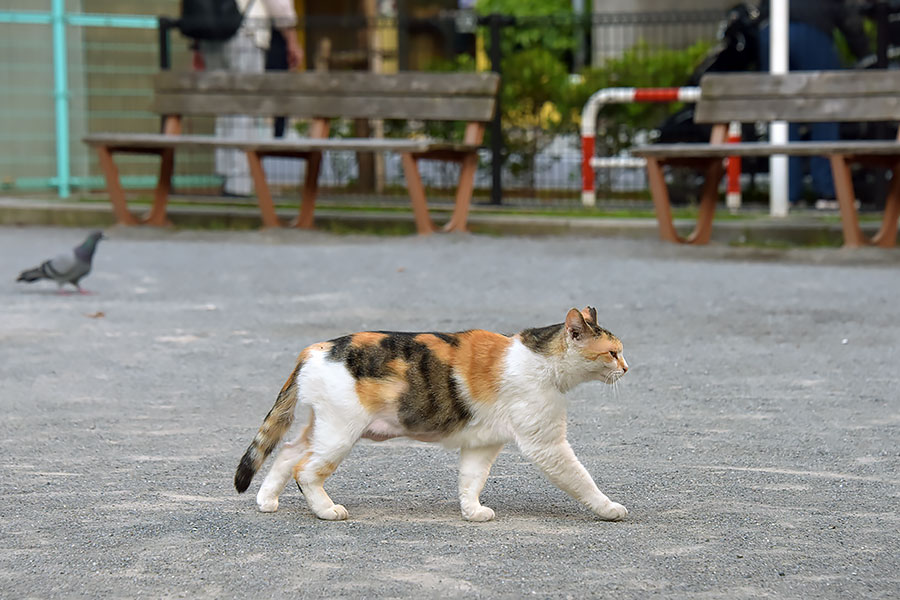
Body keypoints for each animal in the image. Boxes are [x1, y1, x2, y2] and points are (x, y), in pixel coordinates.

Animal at [236, 308, 628, 524]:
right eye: (612, 353)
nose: (627, 368)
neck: (541, 360)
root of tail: (316, 348)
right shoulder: (547, 446)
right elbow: (580, 479)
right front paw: (608, 508)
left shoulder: (483, 444)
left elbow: (471, 480)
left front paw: (472, 512)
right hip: (339, 433)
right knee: (305, 469)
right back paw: (327, 510)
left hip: (321, 427)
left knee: (288, 453)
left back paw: (267, 501)